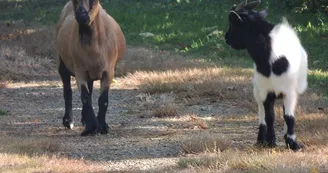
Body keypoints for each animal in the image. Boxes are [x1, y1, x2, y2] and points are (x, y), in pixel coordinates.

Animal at [226, 0, 308, 151]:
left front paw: (293, 143)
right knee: (262, 115)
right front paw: (270, 141)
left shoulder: (290, 92)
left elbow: (289, 117)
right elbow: (270, 117)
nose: (226, 37)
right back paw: (260, 140)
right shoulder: (265, 91)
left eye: (234, 24)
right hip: (257, 90)